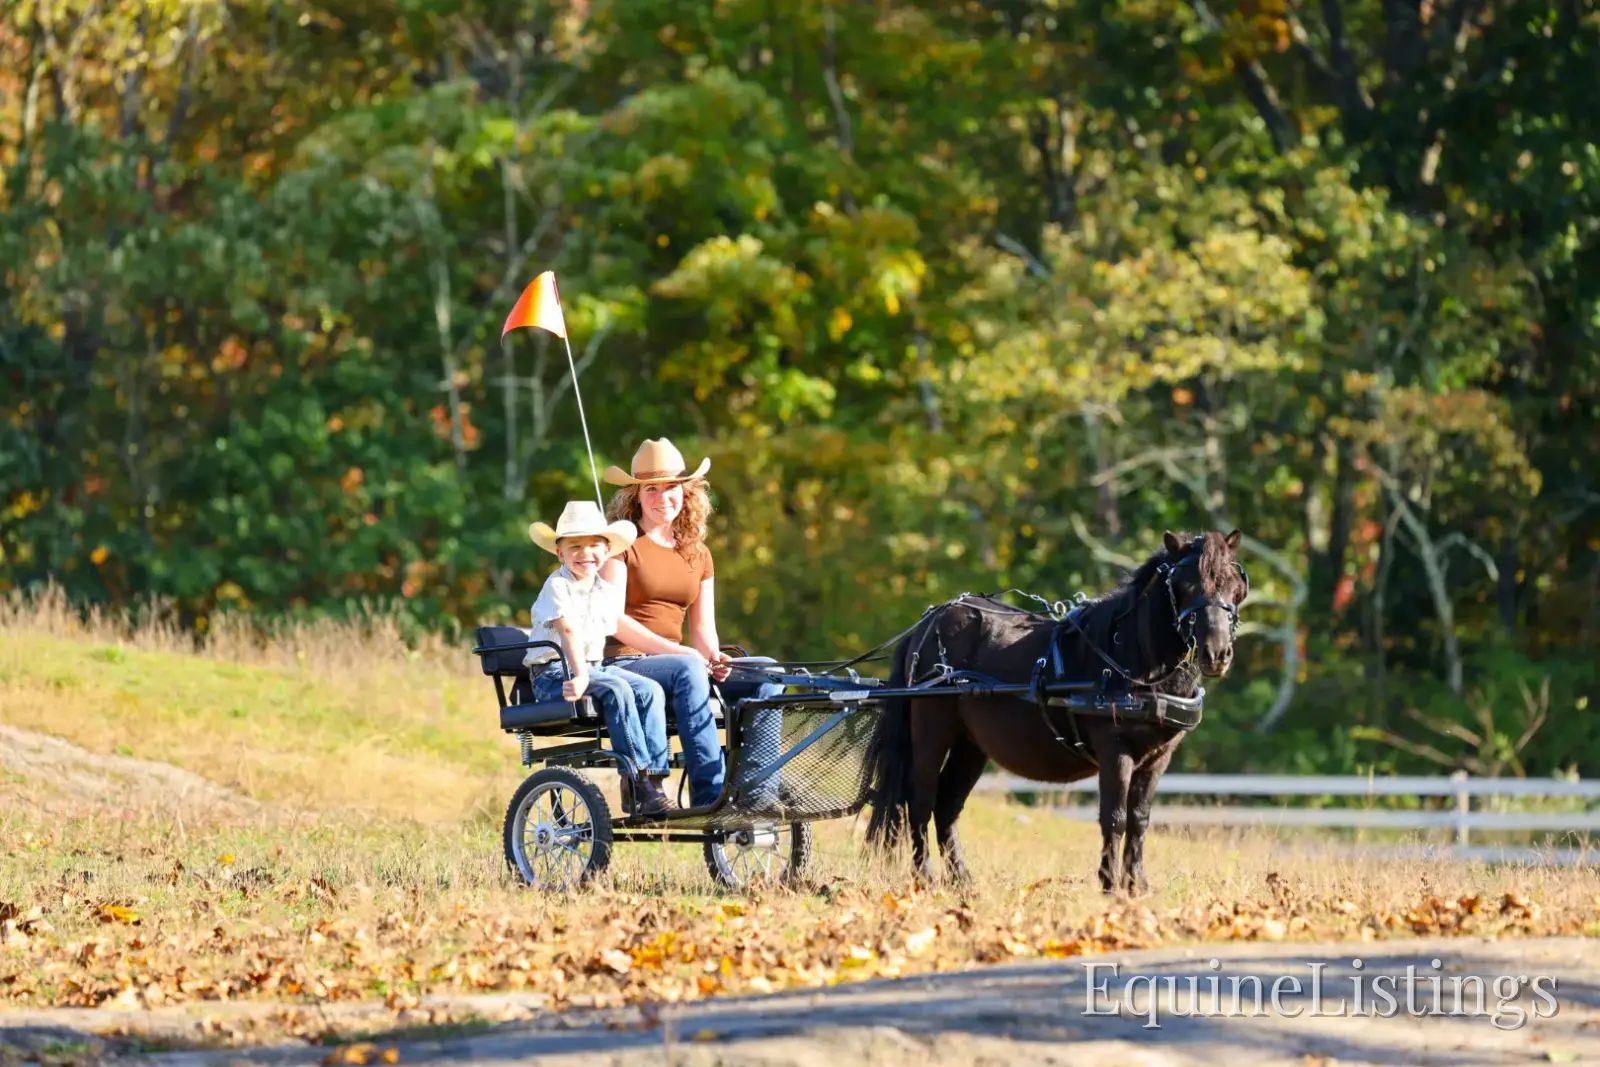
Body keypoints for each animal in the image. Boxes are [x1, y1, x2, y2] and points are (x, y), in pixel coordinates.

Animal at [862, 529, 1249, 895]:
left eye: (1235, 587)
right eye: (1183, 586)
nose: (1216, 654)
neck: (1129, 657)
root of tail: (927, 623)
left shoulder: (1158, 756)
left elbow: (1139, 819)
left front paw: (1137, 886)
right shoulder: (1114, 749)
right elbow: (1114, 818)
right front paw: (1111, 888)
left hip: (971, 745)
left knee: (946, 805)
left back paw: (963, 882)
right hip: (932, 732)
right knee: (920, 801)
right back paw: (925, 879)